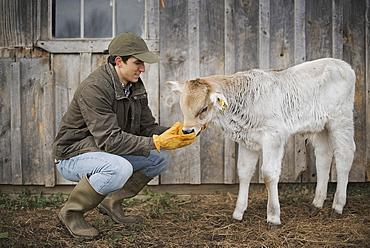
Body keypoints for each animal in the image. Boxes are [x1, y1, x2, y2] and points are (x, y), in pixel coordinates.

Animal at [167, 58, 356, 229]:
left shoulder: (273, 136)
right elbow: (243, 172)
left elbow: (268, 174)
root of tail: (342, 64)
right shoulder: (247, 140)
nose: (187, 131)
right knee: (324, 157)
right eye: (182, 107)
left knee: (344, 155)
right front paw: (238, 213)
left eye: (204, 108)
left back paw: (337, 206)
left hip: (341, 119)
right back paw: (316, 204)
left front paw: (273, 217)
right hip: (321, 126)